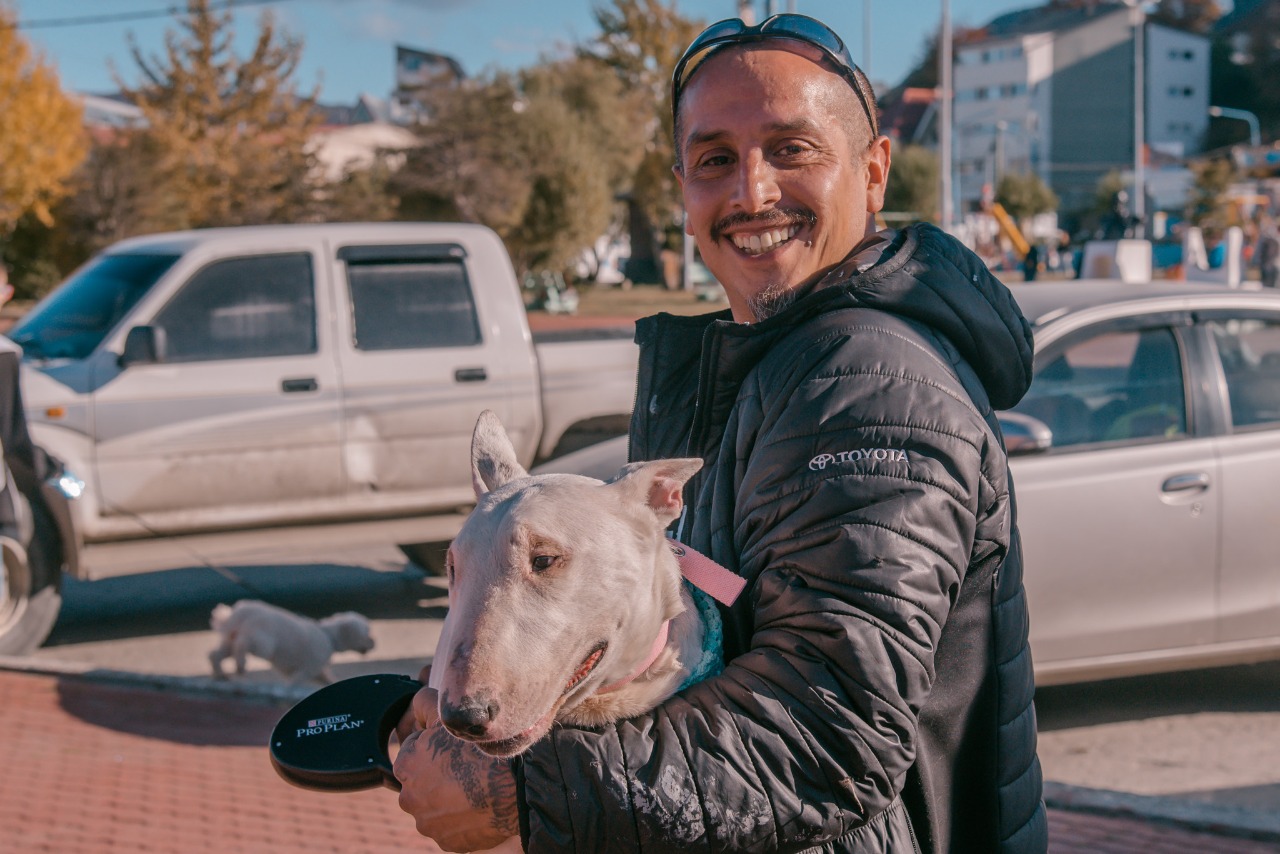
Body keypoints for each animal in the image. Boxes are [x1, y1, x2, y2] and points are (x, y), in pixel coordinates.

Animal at [208, 601, 373, 686]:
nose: (374, 642)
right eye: (366, 633)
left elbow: (326, 679)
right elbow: (296, 681)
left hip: (230, 638)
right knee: (242, 644)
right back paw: (241, 665)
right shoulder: (308, 669)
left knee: (216, 654)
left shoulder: (316, 671)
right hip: (262, 642)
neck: (328, 635)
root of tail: (239, 612)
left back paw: (220, 674)